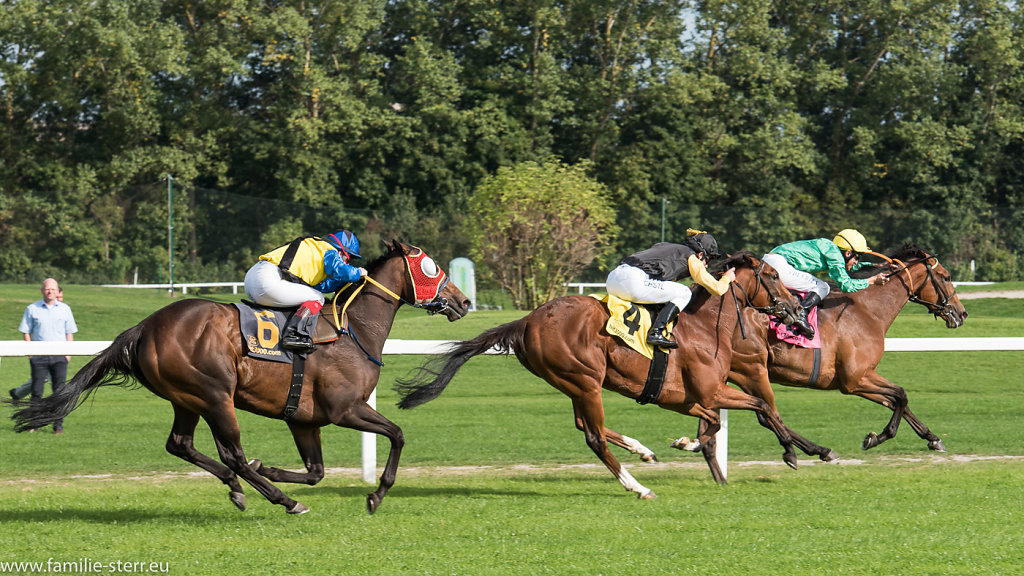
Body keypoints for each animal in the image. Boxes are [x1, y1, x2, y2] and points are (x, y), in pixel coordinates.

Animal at [9, 239, 473, 512]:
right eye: (431, 267)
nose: (464, 300)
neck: (353, 329)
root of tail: (144, 327)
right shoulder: (346, 409)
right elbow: (397, 435)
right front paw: (376, 494)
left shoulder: (304, 419)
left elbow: (316, 471)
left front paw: (273, 469)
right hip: (215, 395)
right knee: (229, 451)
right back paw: (282, 499)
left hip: (188, 398)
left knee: (181, 444)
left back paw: (239, 486)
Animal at [395, 251, 802, 498]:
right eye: (772, 275)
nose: (795, 308)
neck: (704, 327)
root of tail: (525, 321)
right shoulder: (708, 392)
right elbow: (761, 406)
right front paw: (791, 452)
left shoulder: (686, 398)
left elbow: (718, 422)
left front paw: (688, 443)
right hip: (585, 380)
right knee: (593, 436)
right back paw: (638, 487)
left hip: (575, 383)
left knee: (585, 425)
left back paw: (643, 451)